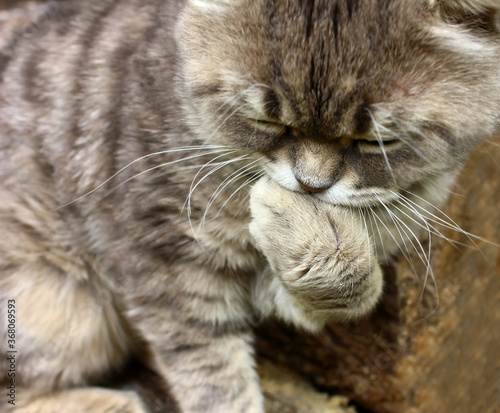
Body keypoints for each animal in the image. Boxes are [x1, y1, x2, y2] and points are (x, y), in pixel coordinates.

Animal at [0, 0, 498, 410]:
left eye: (376, 142)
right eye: (267, 120)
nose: (310, 185)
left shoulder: (279, 287)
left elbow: (350, 286)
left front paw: (310, 233)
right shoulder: (168, 259)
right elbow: (214, 376)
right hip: (63, 308)